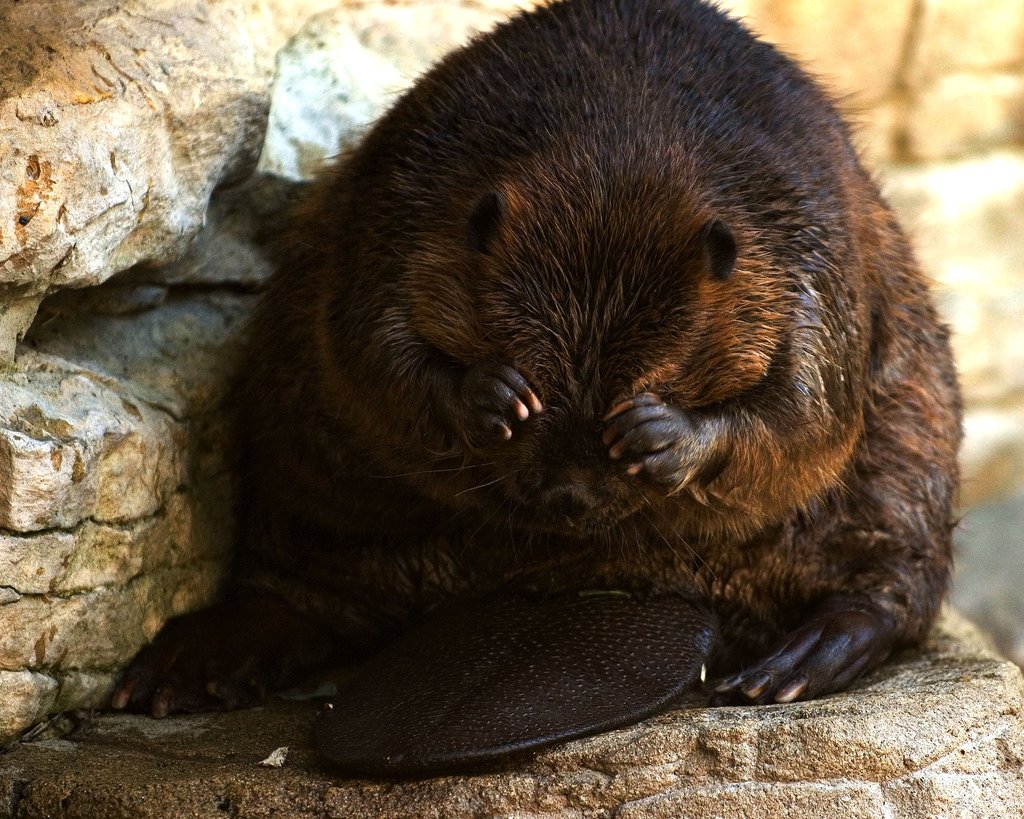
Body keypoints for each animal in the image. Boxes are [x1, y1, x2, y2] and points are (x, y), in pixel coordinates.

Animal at [112, 0, 962, 775]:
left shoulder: (807, 256)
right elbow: (369, 343)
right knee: (297, 593)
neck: (628, 132)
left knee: (889, 582)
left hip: (909, 428)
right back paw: (179, 670)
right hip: (303, 454)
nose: (566, 498)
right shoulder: (403, 206)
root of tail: (580, 587)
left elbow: (806, 410)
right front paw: (495, 395)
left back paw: (791, 663)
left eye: (663, 370)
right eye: (522, 360)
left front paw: (657, 431)